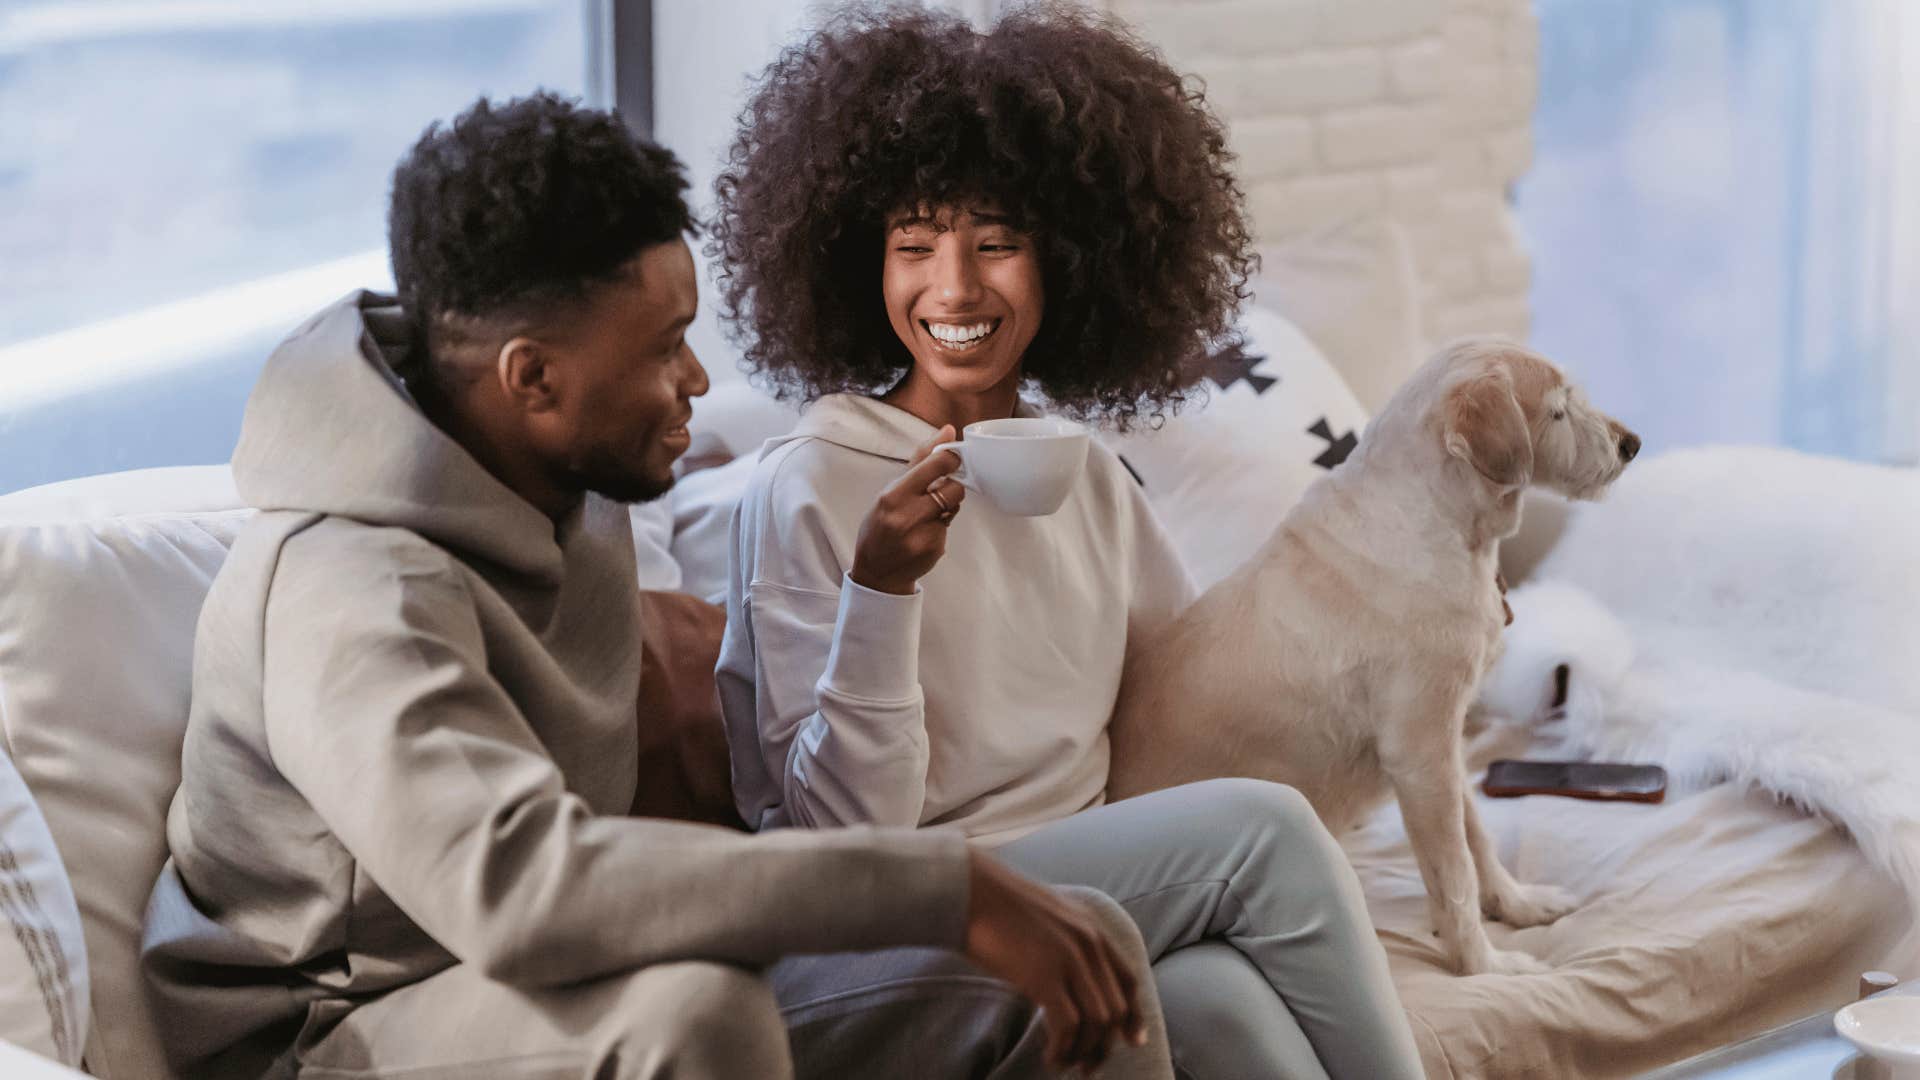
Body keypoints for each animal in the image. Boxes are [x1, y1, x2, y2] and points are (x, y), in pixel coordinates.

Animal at [1113, 336, 1635, 976]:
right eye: (1559, 410)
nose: (1632, 444)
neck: (1441, 523)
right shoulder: (1420, 754)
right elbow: (1453, 873)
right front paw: (1483, 965)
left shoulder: (1444, 744)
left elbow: (1478, 839)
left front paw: (1515, 904)